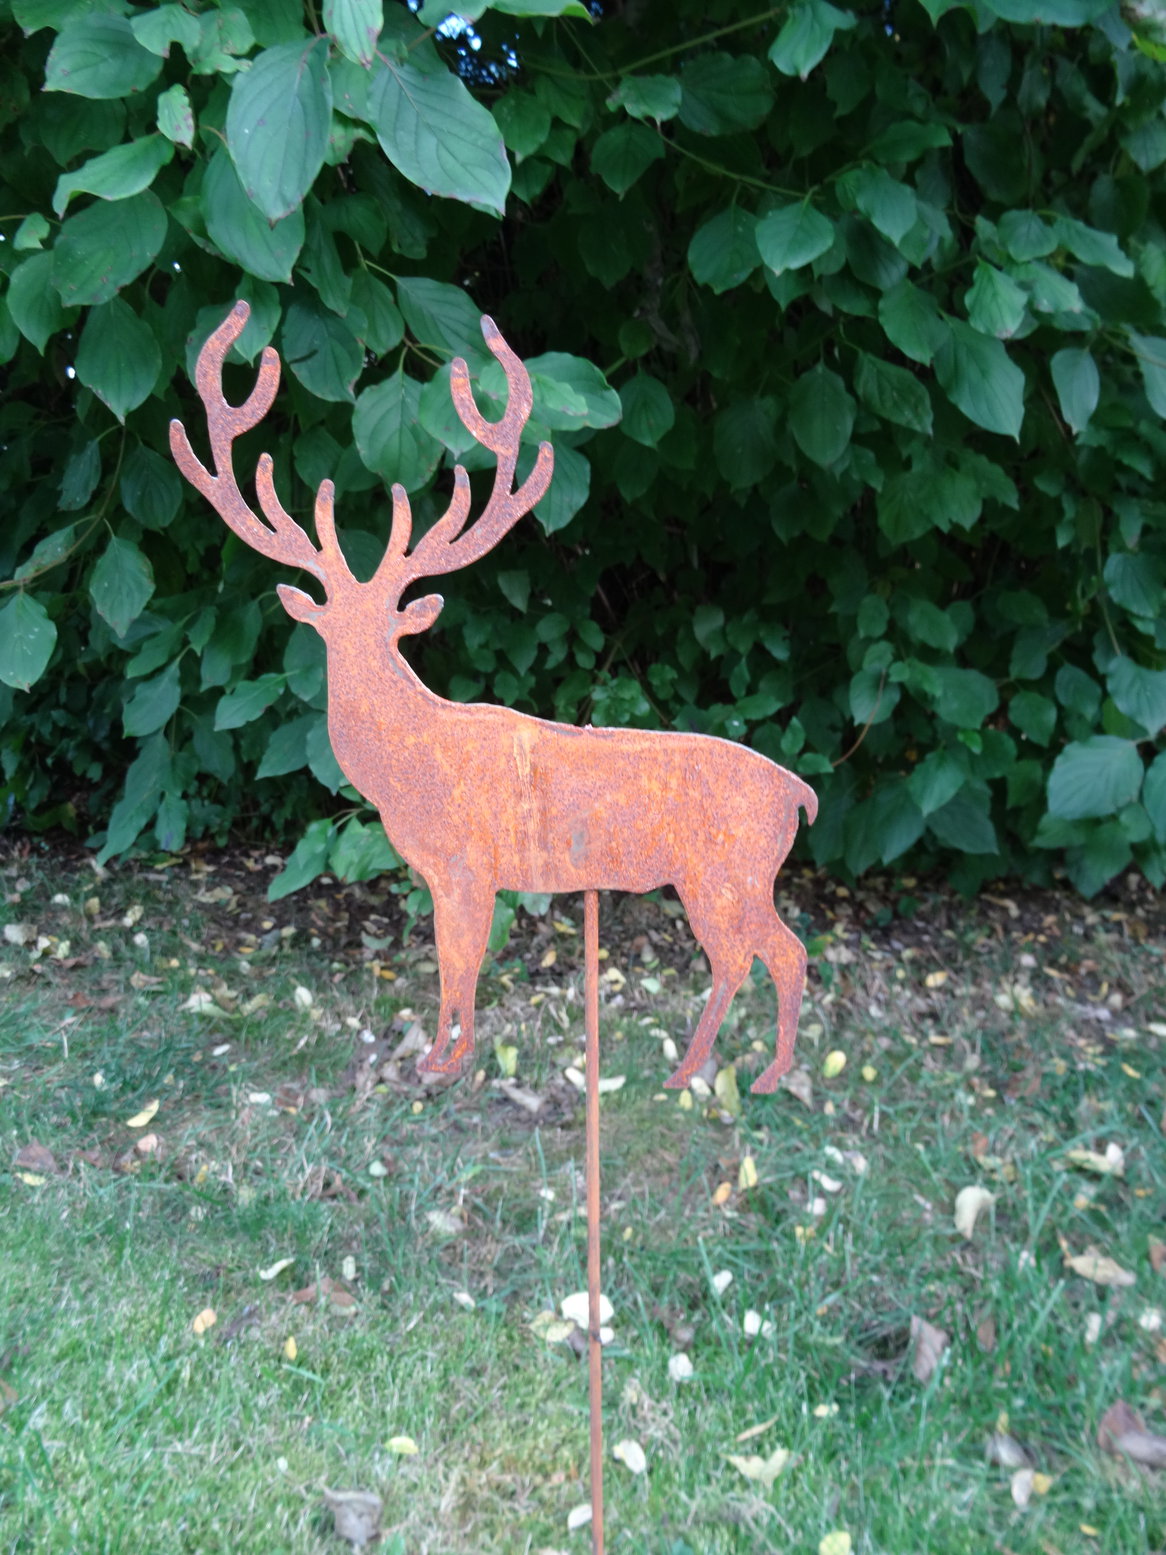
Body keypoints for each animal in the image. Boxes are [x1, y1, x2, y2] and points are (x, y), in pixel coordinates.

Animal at [170, 302, 817, 1094]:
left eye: (389, 630)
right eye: (326, 627)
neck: (407, 766)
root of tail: (799, 794)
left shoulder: (465, 862)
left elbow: (461, 962)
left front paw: (443, 1060)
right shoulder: (448, 872)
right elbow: (455, 962)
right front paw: (440, 1056)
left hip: (727, 871)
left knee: (772, 953)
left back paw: (736, 1074)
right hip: (728, 876)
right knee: (762, 955)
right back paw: (724, 1071)